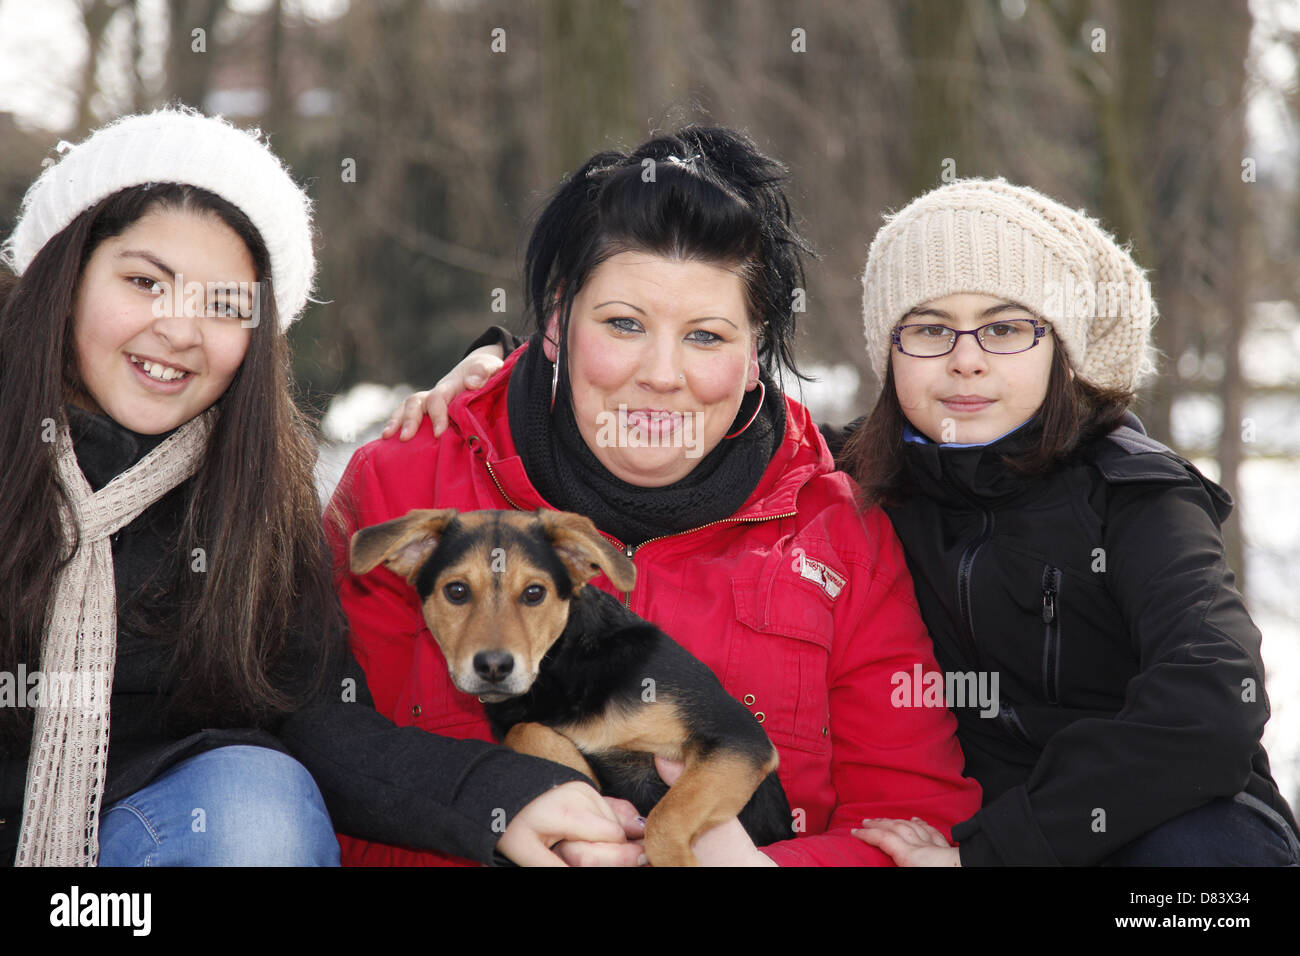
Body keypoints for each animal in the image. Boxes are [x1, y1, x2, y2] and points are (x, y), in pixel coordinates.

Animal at [348, 509, 790, 868]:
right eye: (456, 591)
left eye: (534, 592)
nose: (494, 666)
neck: (562, 670)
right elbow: (523, 731)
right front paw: (574, 769)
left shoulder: (738, 737)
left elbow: (665, 818)